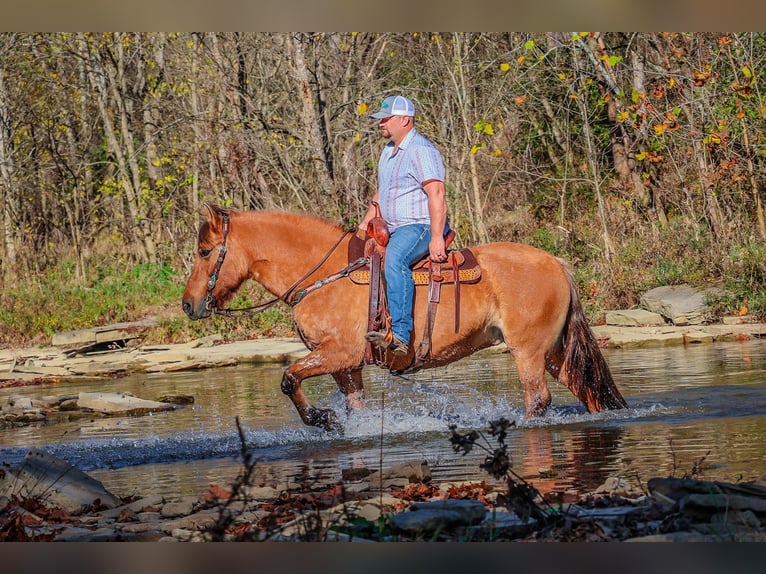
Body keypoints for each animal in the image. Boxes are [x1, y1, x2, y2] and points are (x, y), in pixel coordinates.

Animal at [182, 204, 628, 431]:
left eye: (205, 252)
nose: (188, 305)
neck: (322, 275)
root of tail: (557, 264)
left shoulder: (339, 354)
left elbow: (289, 378)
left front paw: (321, 418)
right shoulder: (345, 367)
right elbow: (355, 407)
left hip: (528, 352)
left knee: (538, 399)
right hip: (554, 352)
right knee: (587, 390)